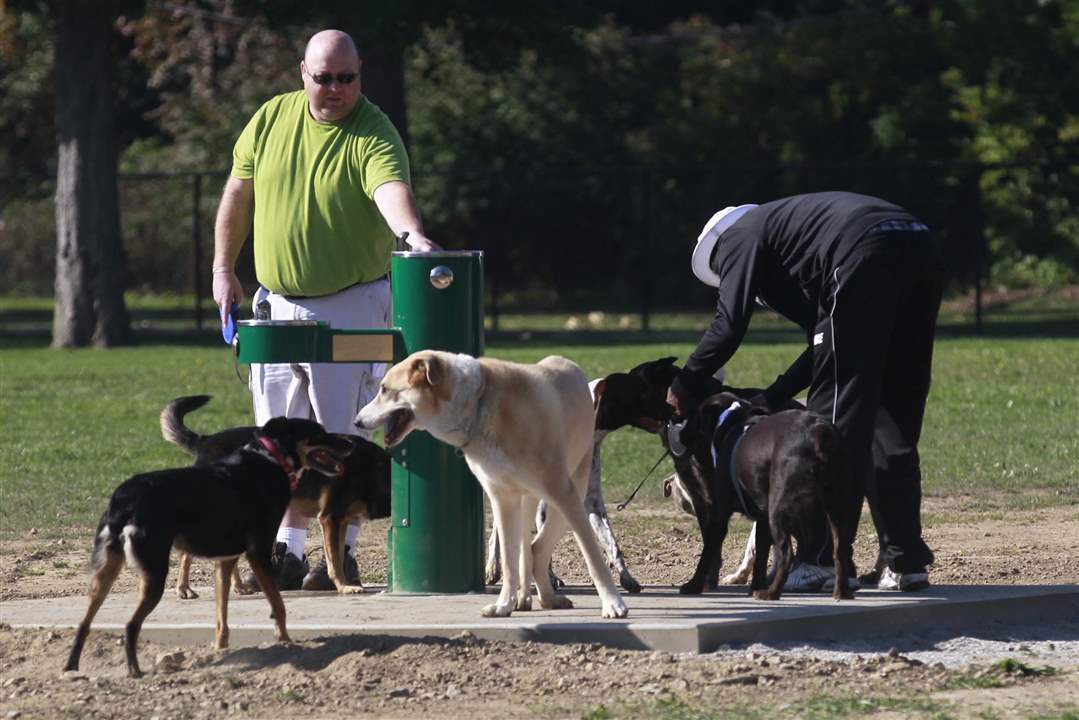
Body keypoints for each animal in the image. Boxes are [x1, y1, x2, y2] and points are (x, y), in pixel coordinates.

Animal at [64, 416, 349, 677]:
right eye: (319, 433)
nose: (350, 443)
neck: (270, 457)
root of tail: (125, 498)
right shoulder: (258, 553)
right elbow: (278, 606)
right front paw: (286, 642)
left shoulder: (226, 559)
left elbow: (222, 613)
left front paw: (220, 648)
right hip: (154, 574)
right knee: (130, 625)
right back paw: (135, 671)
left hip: (105, 573)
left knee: (84, 622)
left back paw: (71, 667)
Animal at [159, 397, 392, 595]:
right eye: (319, 435)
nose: (350, 445)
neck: (374, 469)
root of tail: (204, 441)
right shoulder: (330, 518)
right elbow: (334, 560)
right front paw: (344, 586)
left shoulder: (341, 520)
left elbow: (339, 554)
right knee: (186, 552)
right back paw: (184, 588)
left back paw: (238, 587)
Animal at [353, 349, 630, 621]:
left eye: (385, 389)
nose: (356, 421)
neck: (477, 403)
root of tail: (567, 362)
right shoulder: (502, 499)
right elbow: (508, 560)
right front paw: (503, 606)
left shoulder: (564, 494)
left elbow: (593, 556)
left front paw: (613, 604)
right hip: (527, 499)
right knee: (531, 550)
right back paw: (529, 599)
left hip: (571, 491)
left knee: (538, 548)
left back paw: (547, 598)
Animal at [660, 395, 854, 604]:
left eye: (695, 415)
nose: (679, 433)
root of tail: (819, 432)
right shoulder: (761, 518)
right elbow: (760, 555)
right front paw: (755, 586)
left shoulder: (720, 515)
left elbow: (708, 552)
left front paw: (694, 585)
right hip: (836, 507)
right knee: (839, 550)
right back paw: (841, 592)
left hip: (779, 509)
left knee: (786, 554)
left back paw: (772, 593)